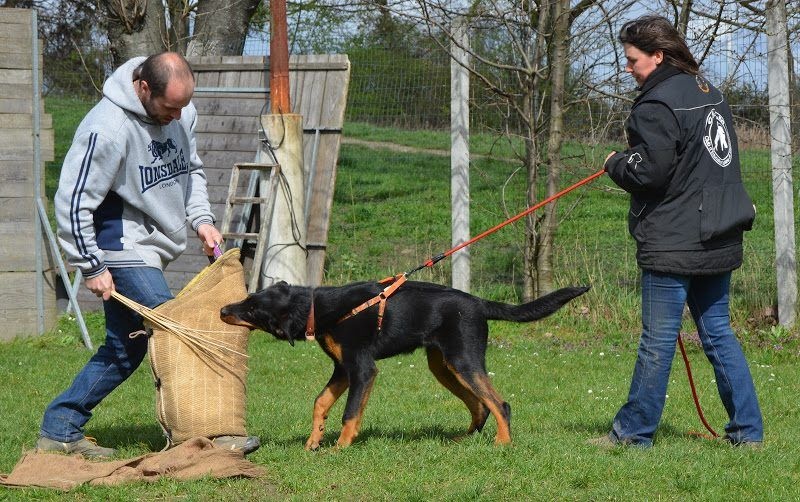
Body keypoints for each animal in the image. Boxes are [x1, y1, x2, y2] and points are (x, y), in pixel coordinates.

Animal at [219, 280, 588, 450]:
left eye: (252, 310)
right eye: (248, 298)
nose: (223, 309)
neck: (318, 308)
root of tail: (479, 303)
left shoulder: (362, 368)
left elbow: (349, 412)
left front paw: (340, 447)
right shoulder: (343, 368)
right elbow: (321, 401)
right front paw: (314, 440)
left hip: (463, 360)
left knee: (499, 403)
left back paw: (502, 442)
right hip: (443, 366)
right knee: (480, 405)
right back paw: (464, 440)